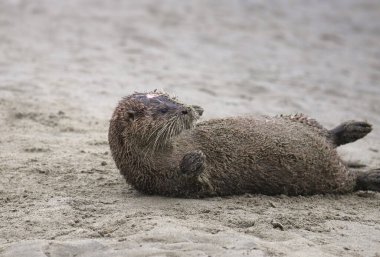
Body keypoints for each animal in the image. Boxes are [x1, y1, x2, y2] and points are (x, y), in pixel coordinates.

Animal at [108, 90, 378, 196]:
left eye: (173, 99)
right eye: (163, 110)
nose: (185, 109)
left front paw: (199, 109)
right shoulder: (158, 181)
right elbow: (191, 182)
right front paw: (194, 160)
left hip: (301, 120)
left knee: (327, 133)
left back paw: (356, 128)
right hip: (334, 178)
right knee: (354, 180)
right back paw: (373, 176)